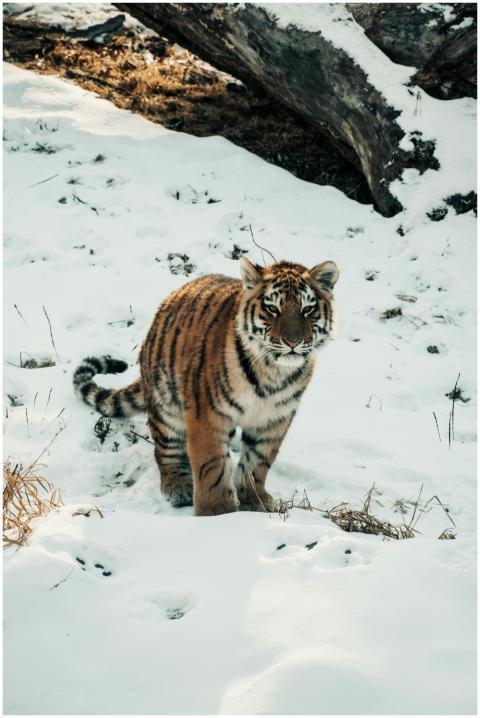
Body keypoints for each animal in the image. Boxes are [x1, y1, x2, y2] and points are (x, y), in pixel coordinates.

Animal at [73, 257, 339, 516]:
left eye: (308, 309)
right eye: (273, 309)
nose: (293, 342)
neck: (273, 372)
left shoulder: (273, 419)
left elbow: (257, 462)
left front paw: (254, 501)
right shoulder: (207, 413)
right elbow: (211, 463)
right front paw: (217, 511)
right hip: (166, 405)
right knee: (165, 449)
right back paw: (178, 487)